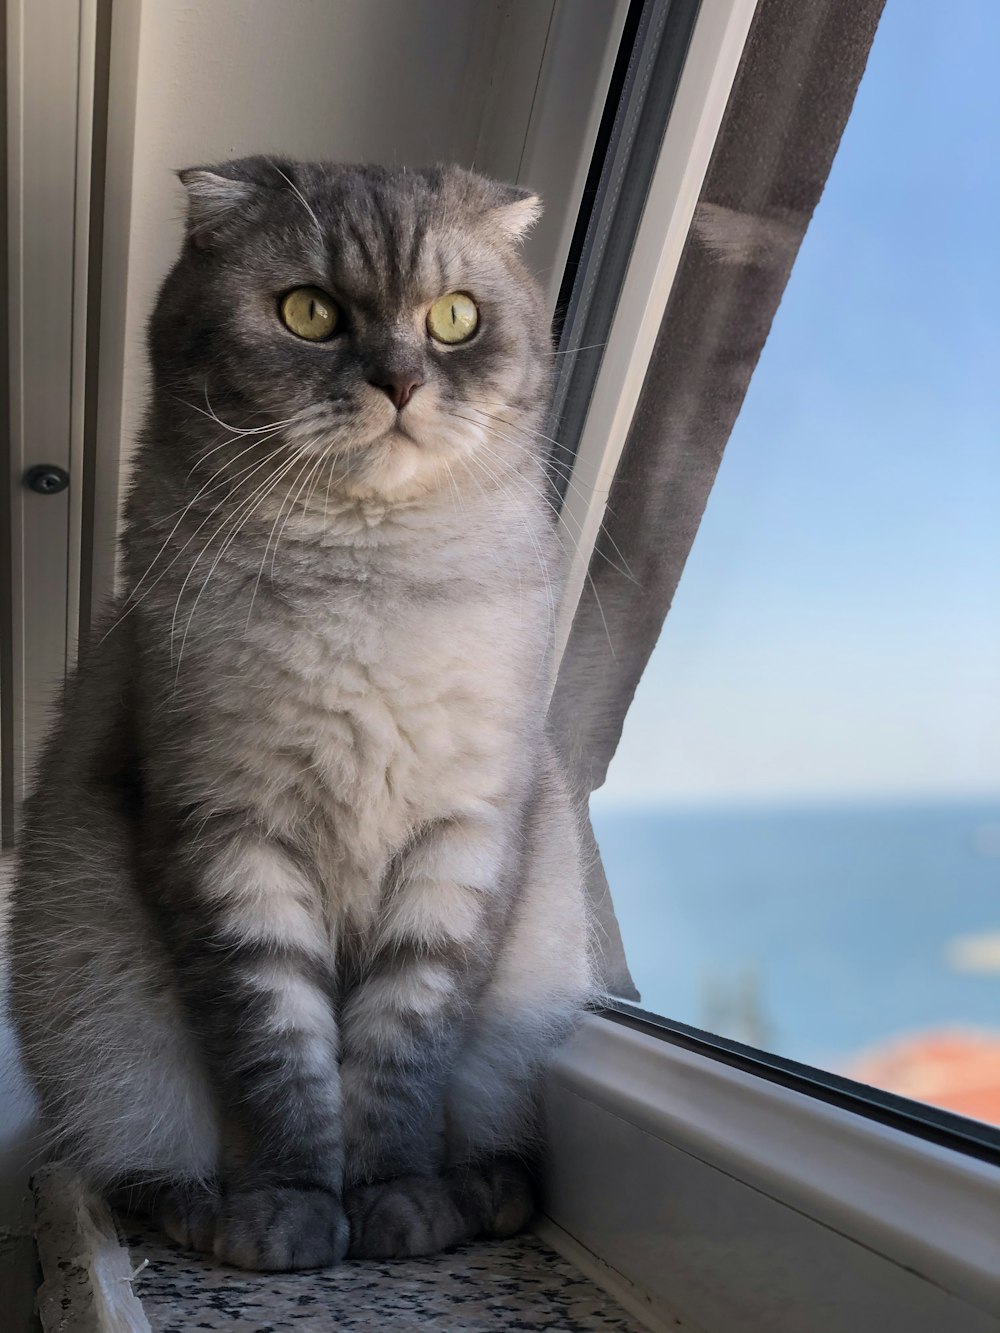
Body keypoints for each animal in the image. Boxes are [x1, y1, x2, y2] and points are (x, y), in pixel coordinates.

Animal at [7, 155, 594, 1269]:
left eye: (454, 319)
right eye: (310, 313)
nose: (400, 383)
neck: (369, 579)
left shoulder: (459, 845)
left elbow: (400, 1063)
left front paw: (391, 1204)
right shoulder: (227, 841)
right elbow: (279, 1062)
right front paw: (295, 1213)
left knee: (494, 1150)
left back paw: (470, 1196)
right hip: (98, 1014)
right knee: (133, 1169)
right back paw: (208, 1211)